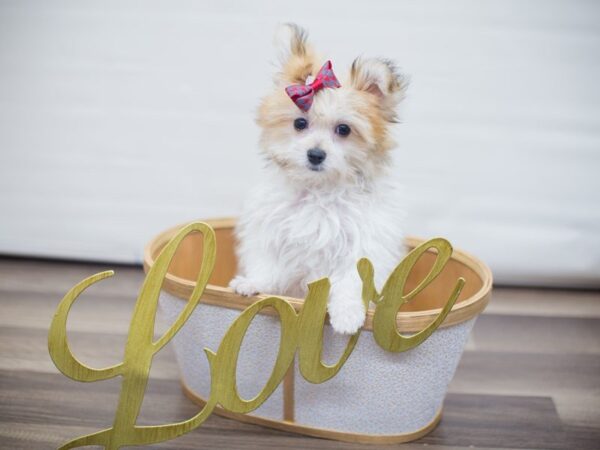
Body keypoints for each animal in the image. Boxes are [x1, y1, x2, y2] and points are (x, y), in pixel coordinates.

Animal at [230, 24, 408, 334]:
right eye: (300, 123)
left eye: (344, 129)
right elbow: (268, 263)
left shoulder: (363, 243)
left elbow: (353, 279)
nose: (315, 154)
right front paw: (253, 283)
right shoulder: (272, 232)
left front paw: (347, 314)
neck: (319, 191)